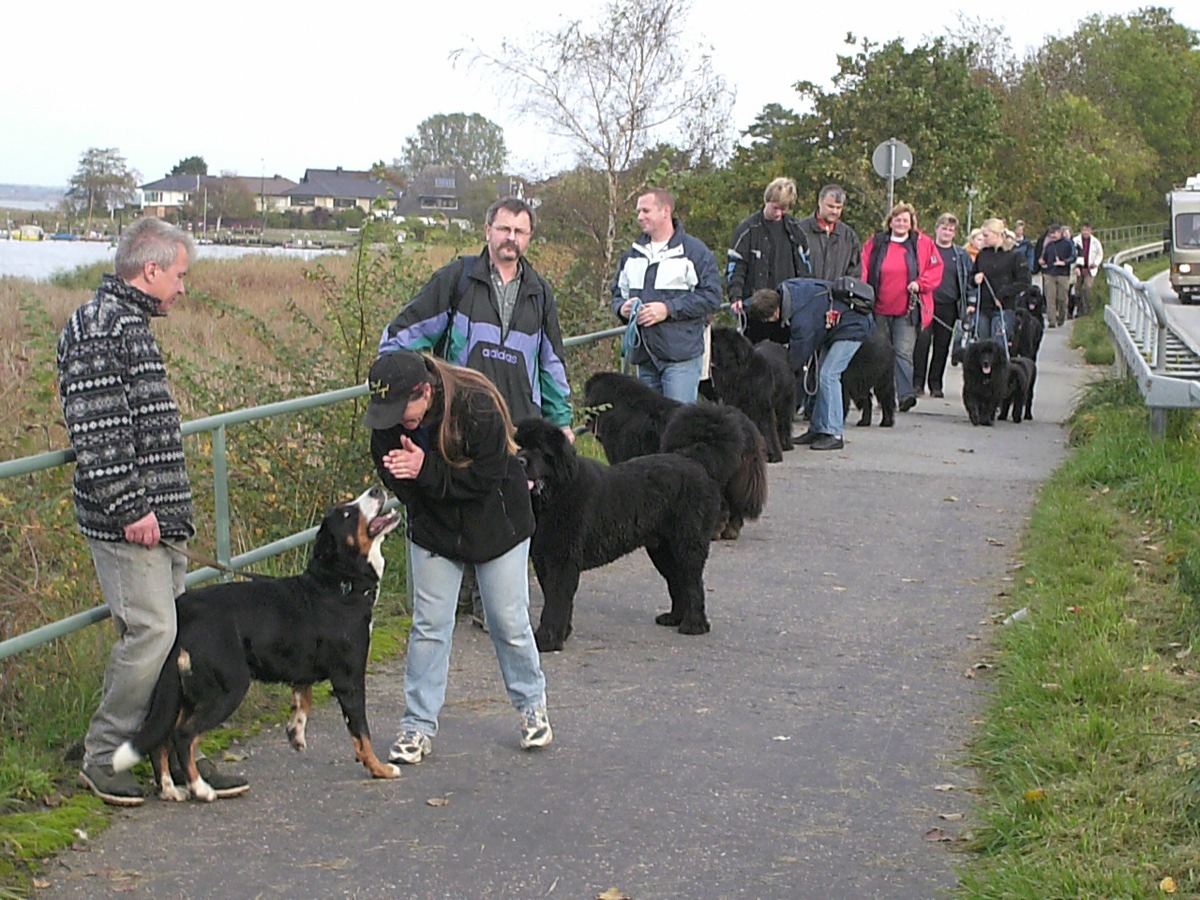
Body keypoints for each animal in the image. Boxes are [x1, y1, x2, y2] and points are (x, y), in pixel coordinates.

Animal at [112, 487, 403, 801]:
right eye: (348, 513)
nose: (377, 489)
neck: (339, 584)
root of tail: (185, 609)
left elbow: (304, 698)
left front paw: (296, 731)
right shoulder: (349, 678)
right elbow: (361, 731)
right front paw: (379, 768)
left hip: (181, 693)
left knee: (161, 741)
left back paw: (170, 790)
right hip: (228, 688)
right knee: (184, 735)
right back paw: (201, 788)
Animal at [511, 412, 724, 652]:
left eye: (538, 449)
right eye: (519, 446)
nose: (520, 460)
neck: (558, 492)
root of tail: (696, 462)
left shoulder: (562, 559)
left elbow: (556, 600)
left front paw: (547, 639)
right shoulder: (543, 558)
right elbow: (556, 597)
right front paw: (563, 632)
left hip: (687, 544)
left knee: (693, 582)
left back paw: (694, 625)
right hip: (663, 550)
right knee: (678, 581)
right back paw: (674, 617)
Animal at [705, 326, 792, 465]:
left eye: (713, 343)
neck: (741, 374)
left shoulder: (762, 408)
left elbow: (768, 429)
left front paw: (774, 455)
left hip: (785, 400)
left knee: (784, 421)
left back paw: (786, 444)